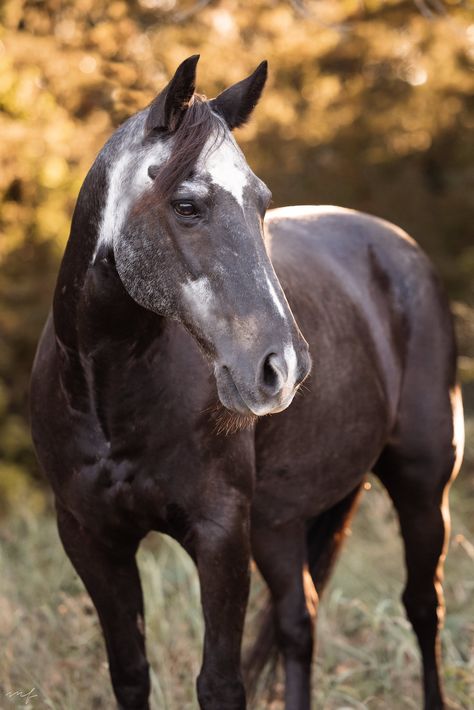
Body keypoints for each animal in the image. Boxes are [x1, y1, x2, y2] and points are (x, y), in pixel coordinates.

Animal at [31, 57, 464, 710]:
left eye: (261, 202)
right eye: (187, 205)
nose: (283, 367)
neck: (106, 397)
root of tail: (395, 245)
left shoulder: (219, 535)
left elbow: (220, 682)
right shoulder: (90, 539)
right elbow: (129, 672)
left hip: (420, 485)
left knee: (423, 607)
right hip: (278, 523)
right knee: (298, 622)